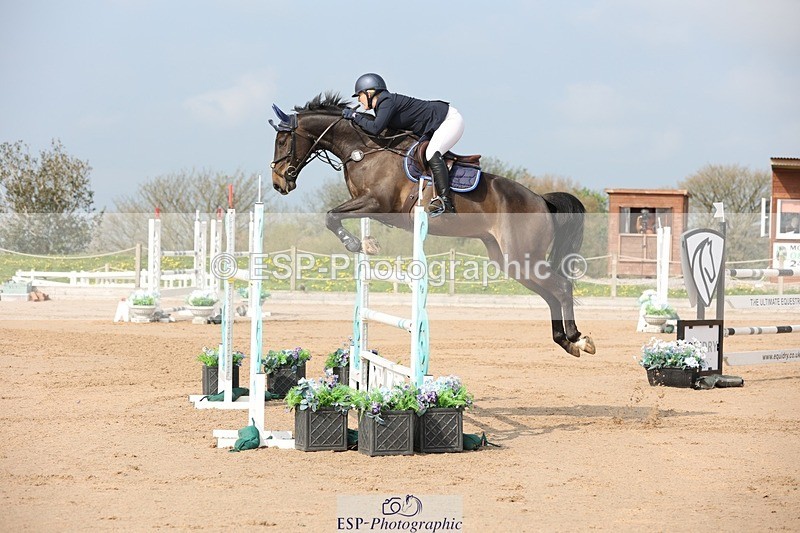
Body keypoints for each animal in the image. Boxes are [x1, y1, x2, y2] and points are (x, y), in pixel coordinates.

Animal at [269, 93, 595, 357]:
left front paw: (358, 244)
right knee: (550, 292)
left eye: (283, 141)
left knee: (562, 286)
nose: (278, 183)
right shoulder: (371, 207)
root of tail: (542, 200)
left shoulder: (377, 203)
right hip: (511, 261)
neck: (364, 150)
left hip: (522, 255)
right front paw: (367, 243)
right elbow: (335, 216)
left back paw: (578, 338)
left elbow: (331, 215)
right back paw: (564, 341)